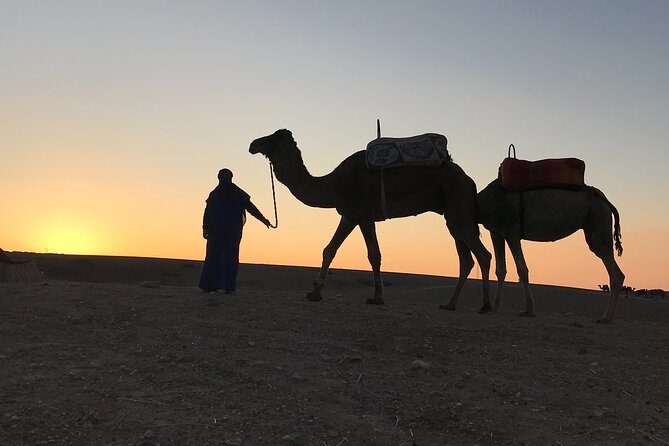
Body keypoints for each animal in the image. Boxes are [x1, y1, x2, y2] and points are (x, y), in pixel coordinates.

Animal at [249, 129, 492, 312]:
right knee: (466, 259)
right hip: (453, 215)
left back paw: (485, 306)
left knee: (483, 255)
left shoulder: (362, 214)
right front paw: (315, 291)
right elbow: (330, 249)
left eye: (275, 137)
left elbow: (373, 254)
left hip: (458, 205)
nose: (253, 143)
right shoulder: (350, 215)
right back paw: (450, 303)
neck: (334, 184)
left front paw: (376, 297)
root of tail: (469, 180)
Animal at [477, 178, 625, 323]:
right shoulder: (496, 232)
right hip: (593, 225)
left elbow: (522, 269)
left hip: (599, 219)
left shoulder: (511, 231)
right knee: (612, 265)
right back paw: (608, 316)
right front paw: (495, 308)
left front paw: (529, 310)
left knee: (612, 269)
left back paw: (606, 317)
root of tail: (603, 199)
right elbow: (500, 270)